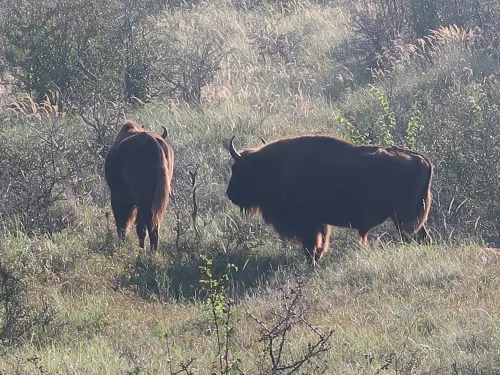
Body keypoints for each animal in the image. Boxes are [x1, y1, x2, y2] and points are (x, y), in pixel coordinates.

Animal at [104, 119, 175, 250]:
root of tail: (152, 141)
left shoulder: (118, 197)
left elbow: (122, 223)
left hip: (141, 200)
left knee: (149, 225)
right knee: (152, 225)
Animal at [228, 135, 434, 264]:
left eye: (236, 169)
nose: (229, 194)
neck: (276, 166)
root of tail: (421, 159)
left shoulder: (308, 224)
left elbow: (312, 246)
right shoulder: (320, 223)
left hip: (404, 219)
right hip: (415, 218)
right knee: (424, 237)